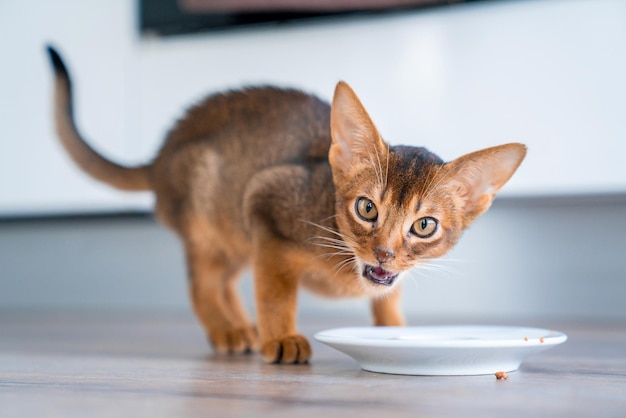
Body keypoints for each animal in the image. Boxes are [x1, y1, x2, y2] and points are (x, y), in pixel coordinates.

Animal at [46, 47, 524, 364]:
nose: (384, 253)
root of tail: (161, 154)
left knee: (225, 281)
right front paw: (282, 338)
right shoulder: (266, 203)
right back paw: (230, 329)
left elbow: (388, 298)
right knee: (203, 284)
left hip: (236, 235)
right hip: (211, 216)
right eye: (367, 209)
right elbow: (274, 290)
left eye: (424, 226)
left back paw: (243, 327)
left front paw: (395, 331)